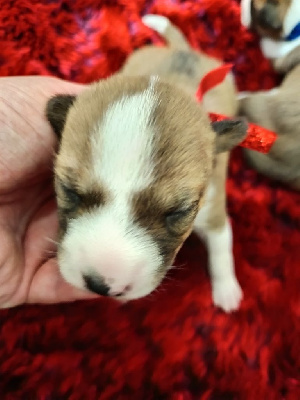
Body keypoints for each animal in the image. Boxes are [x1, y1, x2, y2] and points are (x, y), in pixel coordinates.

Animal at [45, 14, 246, 310]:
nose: (102, 286)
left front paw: (227, 290)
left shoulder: (212, 209)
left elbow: (222, 246)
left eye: (178, 211)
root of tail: (183, 50)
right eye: (69, 191)